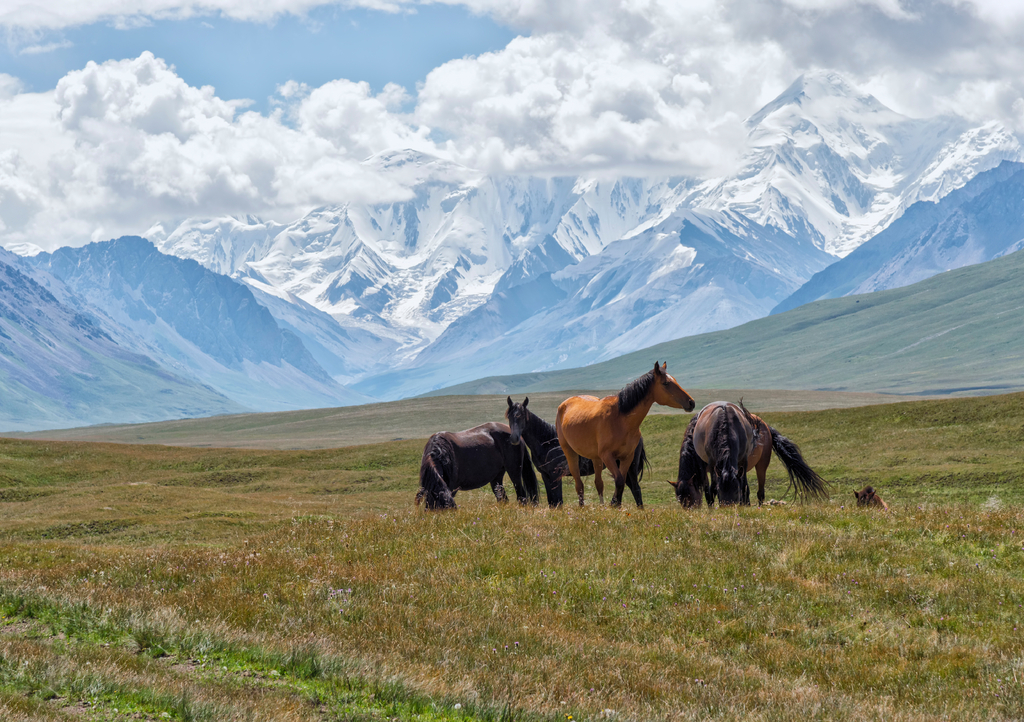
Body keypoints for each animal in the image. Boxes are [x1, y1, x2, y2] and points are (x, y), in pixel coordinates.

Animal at [505, 396, 649, 508]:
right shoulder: (546, 476)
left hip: (630, 467)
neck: (547, 442)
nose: (514, 438)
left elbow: (558, 502)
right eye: (509, 417)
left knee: (636, 489)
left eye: (521, 416)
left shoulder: (555, 476)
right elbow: (552, 503)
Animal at [556, 362, 695, 507]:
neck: (620, 419)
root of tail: (565, 404)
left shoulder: (626, 457)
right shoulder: (607, 456)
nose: (691, 402)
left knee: (599, 483)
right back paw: (582, 507)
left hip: (596, 457)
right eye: (666, 383)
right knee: (579, 485)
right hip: (570, 452)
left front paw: (616, 506)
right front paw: (614, 505)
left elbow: (621, 483)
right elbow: (618, 480)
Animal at [671, 401, 828, 507]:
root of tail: (764, 424)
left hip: (762, 464)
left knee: (760, 491)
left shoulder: (741, 462)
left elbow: (742, 487)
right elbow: (712, 489)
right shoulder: (711, 466)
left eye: (689, 497)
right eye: (680, 500)